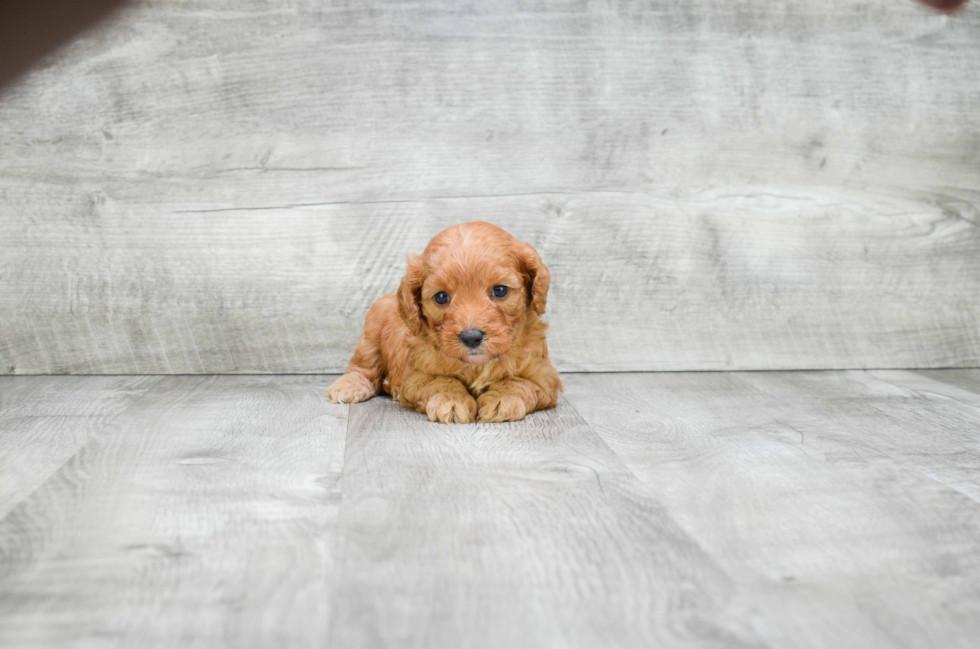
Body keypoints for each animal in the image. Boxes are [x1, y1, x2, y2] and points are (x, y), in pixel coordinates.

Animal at [328, 220, 564, 422]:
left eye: (500, 290)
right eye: (441, 297)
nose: (471, 338)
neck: (476, 366)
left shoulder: (544, 377)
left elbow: (519, 382)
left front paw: (502, 399)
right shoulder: (416, 375)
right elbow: (441, 381)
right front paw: (451, 401)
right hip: (372, 328)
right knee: (363, 366)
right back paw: (349, 386)